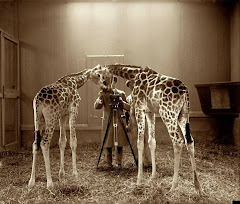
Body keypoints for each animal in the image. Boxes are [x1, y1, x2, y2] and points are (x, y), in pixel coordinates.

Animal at [93, 64, 202, 194]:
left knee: (177, 141)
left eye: (99, 74)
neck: (134, 74)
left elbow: (140, 142)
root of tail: (185, 92)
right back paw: (197, 186)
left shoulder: (139, 108)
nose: (103, 87)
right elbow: (151, 141)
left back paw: (173, 186)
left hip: (168, 113)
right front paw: (152, 176)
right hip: (183, 115)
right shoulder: (150, 112)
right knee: (189, 141)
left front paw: (139, 179)